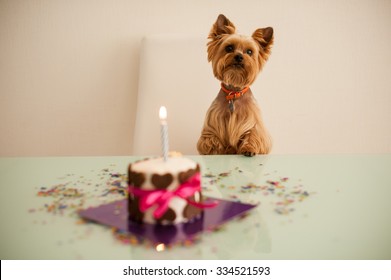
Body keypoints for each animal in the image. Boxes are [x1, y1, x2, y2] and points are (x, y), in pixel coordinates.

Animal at [198, 14, 274, 156]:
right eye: (229, 48)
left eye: (249, 52)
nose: (238, 56)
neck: (234, 93)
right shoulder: (212, 126)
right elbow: (211, 140)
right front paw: (217, 150)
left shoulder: (254, 124)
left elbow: (253, 135)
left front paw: (249, 148)